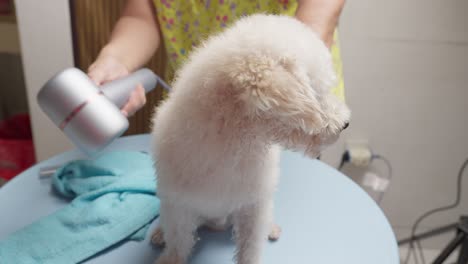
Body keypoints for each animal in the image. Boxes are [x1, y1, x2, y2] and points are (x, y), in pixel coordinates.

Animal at [150, 14, 352, 264]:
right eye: (316, 93)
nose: (346, 123)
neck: (233, 143)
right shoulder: (178, 204)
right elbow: (178, 241)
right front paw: (170, 258)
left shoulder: (254, 206)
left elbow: (250, 246)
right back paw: (159, 231)